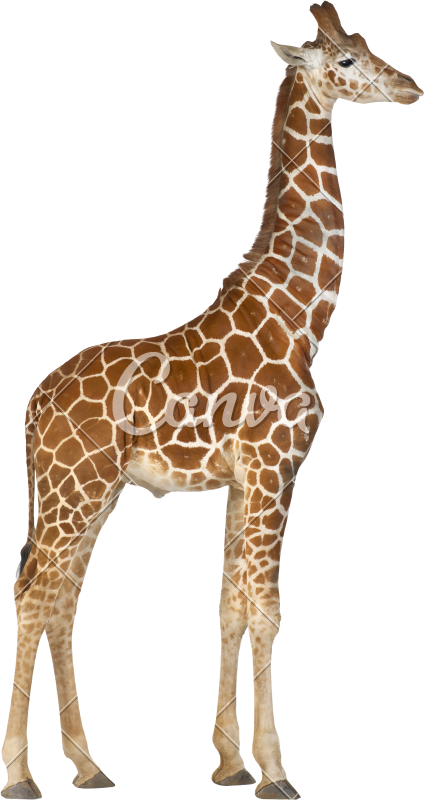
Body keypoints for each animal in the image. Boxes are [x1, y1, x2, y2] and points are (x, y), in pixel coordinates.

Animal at [2, 3, 422, 799]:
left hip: (92, 492)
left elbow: (230, 609)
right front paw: (276, 770)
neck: (300, 317)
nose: (410, 88)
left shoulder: (242, 480)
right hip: (76, 489)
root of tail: (34, 405)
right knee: (34, 595)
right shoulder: (275, 468)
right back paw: (20, 773)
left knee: (59, 599)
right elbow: (267, 610)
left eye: (368, 46)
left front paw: (229, 761)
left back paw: (88, 765)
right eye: (346, 62)